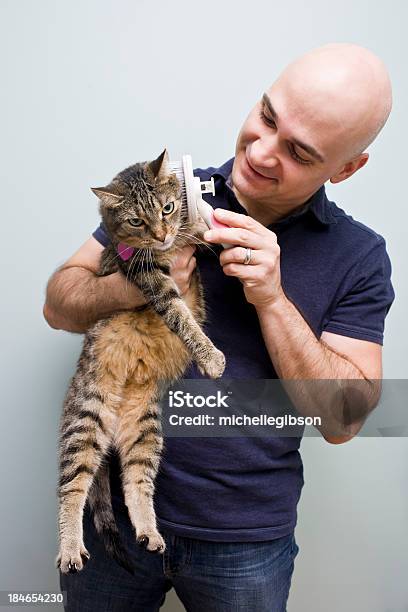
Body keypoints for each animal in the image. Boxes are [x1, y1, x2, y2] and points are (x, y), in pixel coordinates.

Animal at [55, 148, 225, 572]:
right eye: (136, 221)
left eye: (168, 208)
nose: (162, 235)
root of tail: (112, 429)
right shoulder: (150, 279)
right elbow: (182, 318)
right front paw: (211, 357)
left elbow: (204, 228)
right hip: (85, 424)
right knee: (72, 490)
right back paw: (70, 548)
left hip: (145, 435)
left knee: (136, 486)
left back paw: (150, 533)